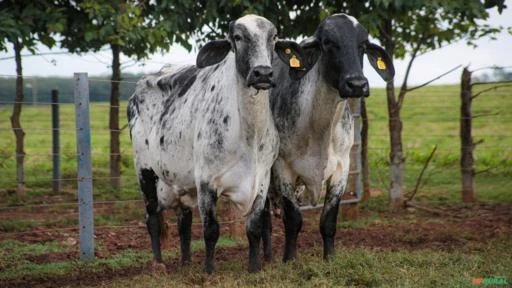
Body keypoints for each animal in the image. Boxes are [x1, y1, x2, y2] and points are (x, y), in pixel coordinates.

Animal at [127, 14, 304, 274]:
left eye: (273, 37)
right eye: (237, 37)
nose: (262, 73)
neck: (249, 135)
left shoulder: (261, 181)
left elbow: (254, 228)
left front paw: (254, 268)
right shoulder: (206, 182)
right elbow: (211, 230)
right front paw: (209, 270)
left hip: (179, 182)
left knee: (184, 221)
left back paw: (186, 261)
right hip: (145, 171)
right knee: (151, 218)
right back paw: (158, 263)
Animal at [268, 13, 396, 260]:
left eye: (363, 45)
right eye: (328, 42)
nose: (357, 84)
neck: (319, 127)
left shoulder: (342, 169)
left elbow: (328, 221)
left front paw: (330, 259)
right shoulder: (282, 168)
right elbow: (293, 221)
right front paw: (289, 259)